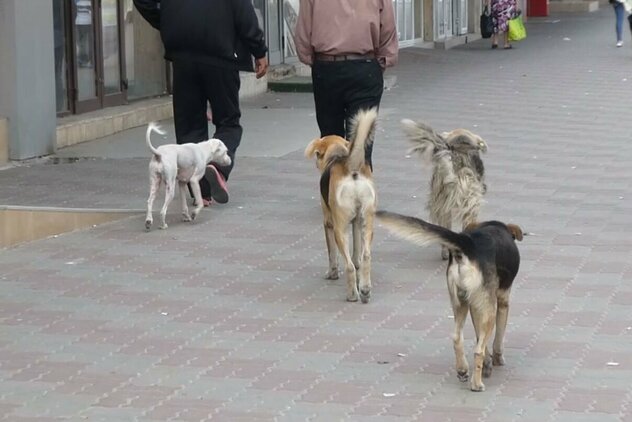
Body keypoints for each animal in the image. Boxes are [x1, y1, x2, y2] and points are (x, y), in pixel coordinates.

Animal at [304, 107, 378, 302]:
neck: (336, 156)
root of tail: (350, 166)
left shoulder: (328, 223)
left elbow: (332, 254)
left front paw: (332, 273)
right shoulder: (356, 223)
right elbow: (357, 256)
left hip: (339, 228)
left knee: (349, 266)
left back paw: (352, 294)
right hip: (367, 223)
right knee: (365, 257)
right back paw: (365, 288)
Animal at [376, 211, 524, 392]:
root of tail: (469, 245)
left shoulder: (474, 305)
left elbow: (478, 335)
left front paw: (488, 362)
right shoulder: (502, 302)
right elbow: (498, 337)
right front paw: (497, 358)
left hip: (460, 303)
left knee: (456, 337)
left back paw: (462, 369)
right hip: (488, 309)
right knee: (478, 350)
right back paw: (476, 383)